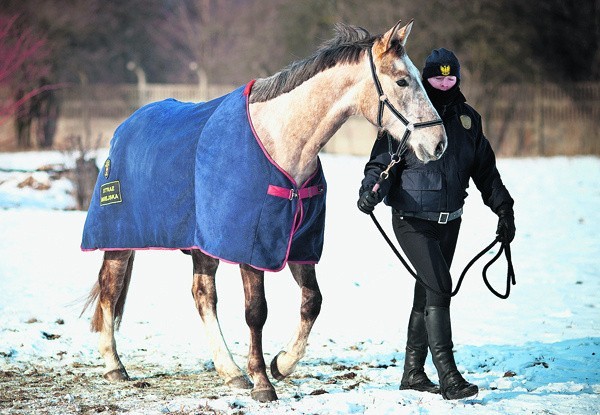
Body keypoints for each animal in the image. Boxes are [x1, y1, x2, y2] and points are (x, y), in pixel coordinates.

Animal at [79, 20, 446, 404]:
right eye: (402, 81)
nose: (438, 144)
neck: (283, 142)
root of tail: (123, 128)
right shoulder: (252, 247)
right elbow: (256, 312)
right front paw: (262, 382)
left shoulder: (298, 245)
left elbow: (312, 302)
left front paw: (280, 363)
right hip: (118, 239)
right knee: (110, 290)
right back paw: (115, 366)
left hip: (202, 244)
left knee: (202, 296)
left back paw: (230, 372)